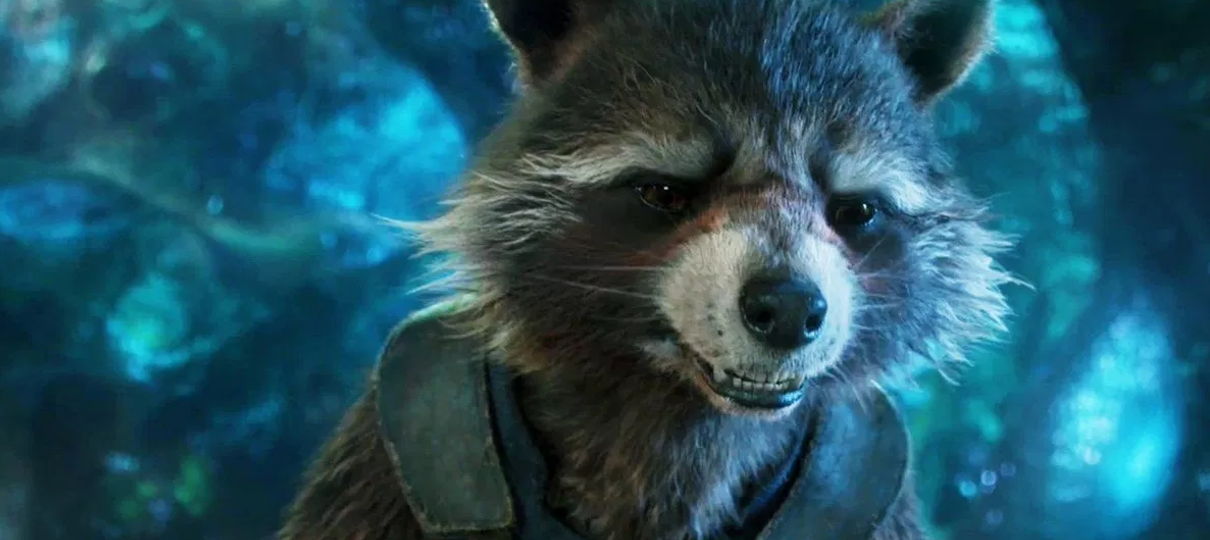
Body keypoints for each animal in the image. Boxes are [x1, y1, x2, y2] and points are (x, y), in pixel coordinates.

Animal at [278, 0, 1013, 539]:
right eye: (664, 193)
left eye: (854, 210)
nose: (789, 308)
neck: (680, 406)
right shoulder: (395, 444)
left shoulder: (868, 492)